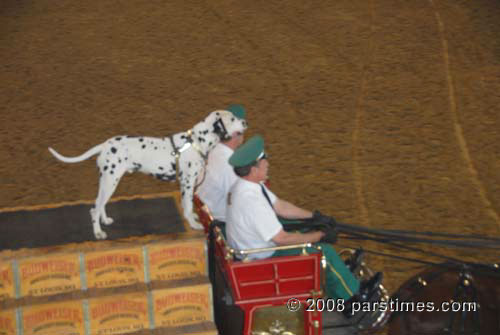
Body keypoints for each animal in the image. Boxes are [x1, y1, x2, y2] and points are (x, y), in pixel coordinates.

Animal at [48, 110, 248, 239]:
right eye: (232, 118)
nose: (246, 122)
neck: (196, 142)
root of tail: (104, 145)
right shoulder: (187, 184)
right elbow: (188, 207)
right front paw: (194, 224)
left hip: (108, 182)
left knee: (100, 204)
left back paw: (105, 220)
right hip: (110, 181)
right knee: (94, 209)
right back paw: (98, 232)